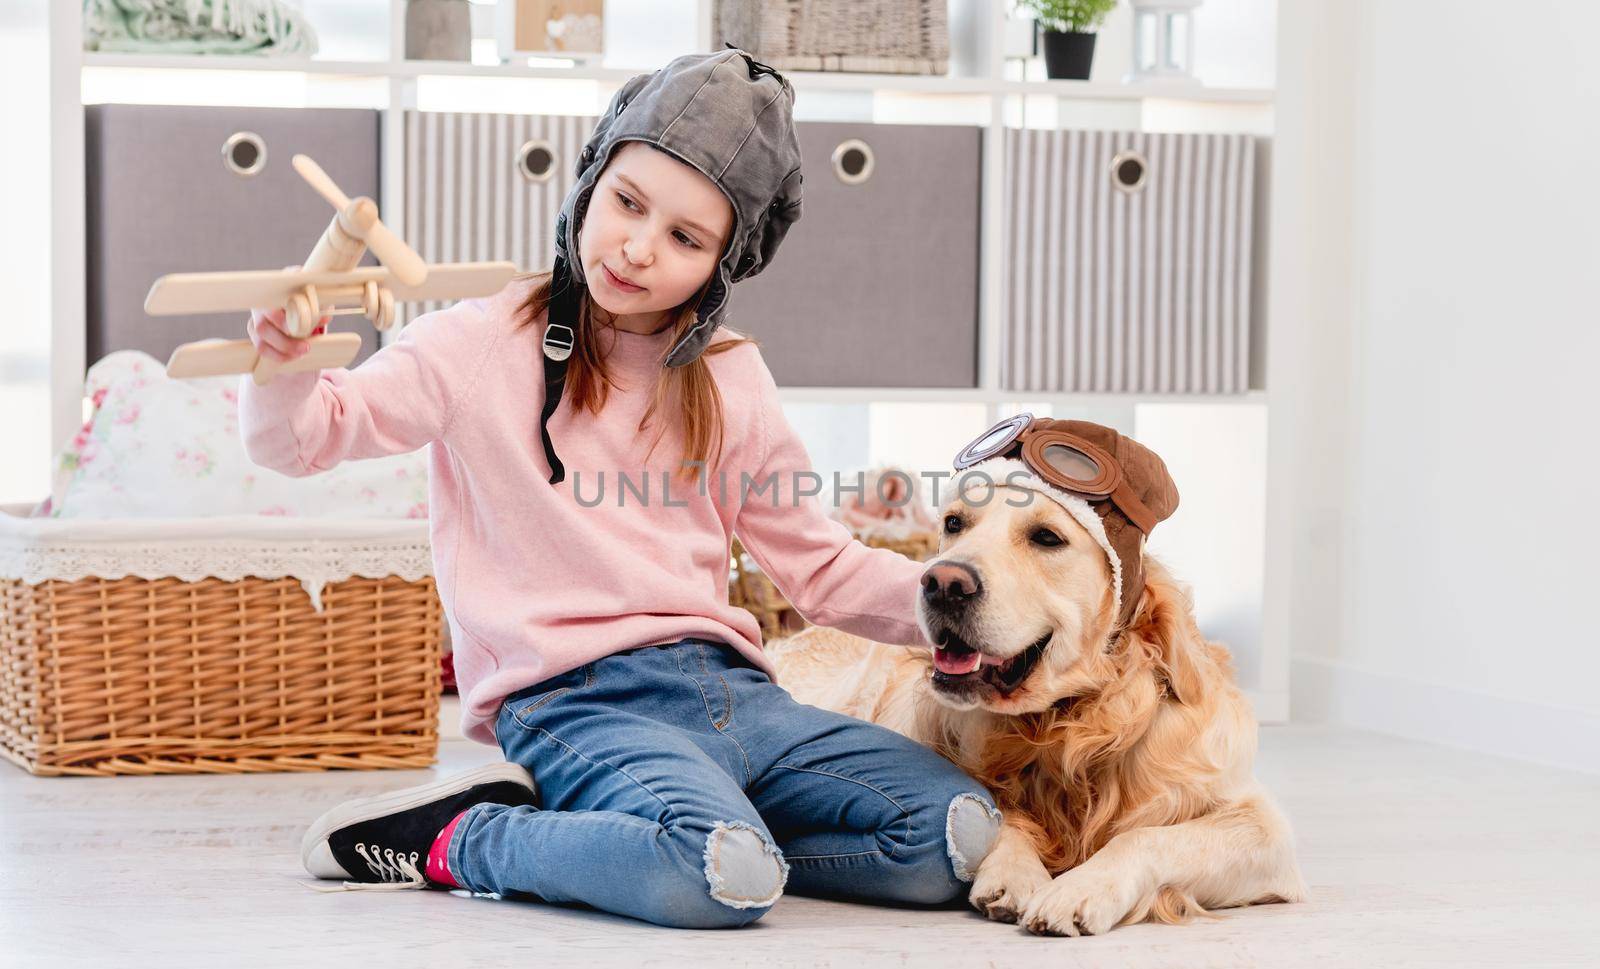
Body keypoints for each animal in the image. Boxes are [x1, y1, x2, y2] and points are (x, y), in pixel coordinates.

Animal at [768, 479, 1305, 933]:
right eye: (954, 523)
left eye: (1047, 537)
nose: (942, 582)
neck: (1064, 726)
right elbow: (996, 814)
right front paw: (1015, 874)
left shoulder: (1263, 830)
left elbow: (1148, 836)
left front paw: (1081, 889)